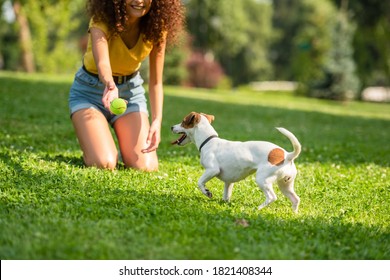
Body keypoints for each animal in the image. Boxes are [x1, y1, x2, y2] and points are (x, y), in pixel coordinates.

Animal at [171, 111, 302, 212]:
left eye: (183, 122)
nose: (171, 127)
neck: (208, 141)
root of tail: (287, 156)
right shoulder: (228, 182)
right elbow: (226, 195)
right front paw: (225, 203)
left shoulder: (212, 170)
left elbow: (200, 182)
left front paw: (207, 192)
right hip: (285, 185)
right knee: (295, 199)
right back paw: (294, 214)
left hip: (262, 179)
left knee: (272, 197)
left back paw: (258, 208)